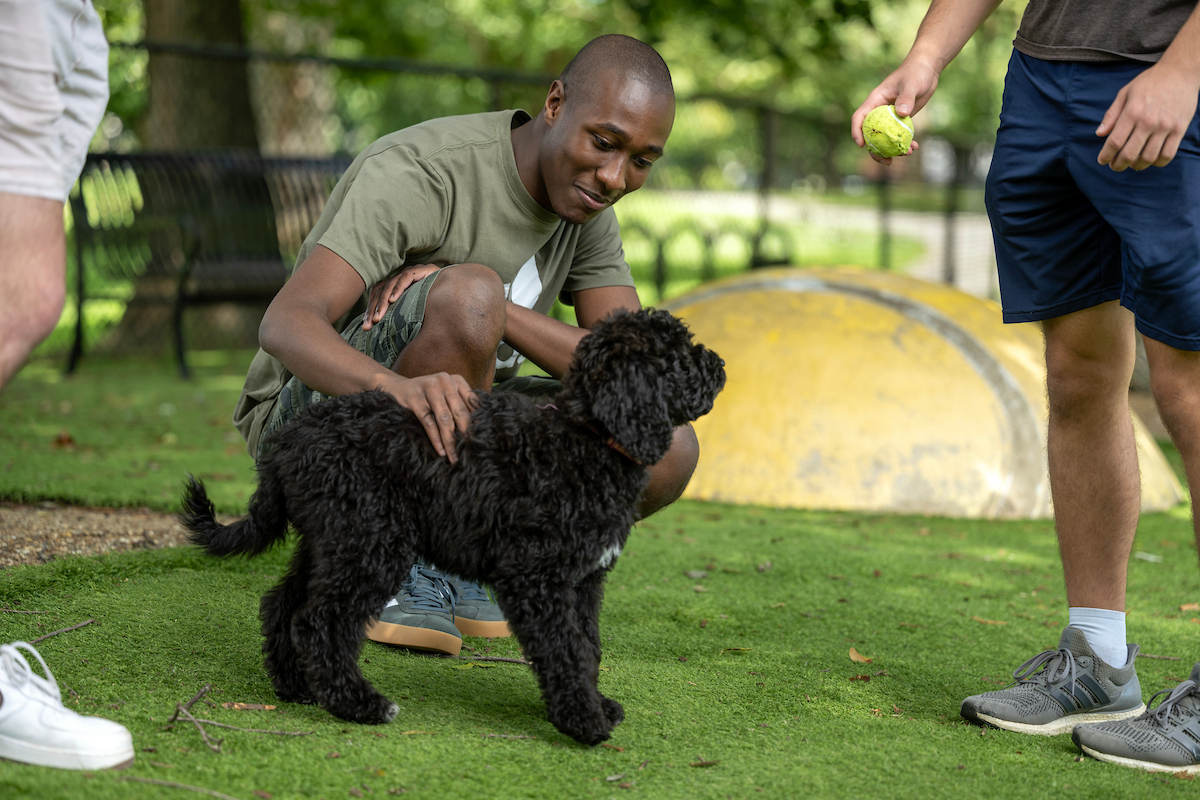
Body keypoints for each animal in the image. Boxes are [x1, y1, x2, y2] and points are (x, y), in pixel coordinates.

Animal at [177, 309, 720, 748]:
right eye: (679, 356)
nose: (719, 364)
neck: (586, 435)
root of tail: (291, 438)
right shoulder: (537, 578)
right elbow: (565, 648)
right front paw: (584, 722)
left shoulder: (583, 581)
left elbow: (586, 646)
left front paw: (595, 704)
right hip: (373, 543)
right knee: (321, 620)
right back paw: (360, 705)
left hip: (334, 539)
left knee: (282, 605)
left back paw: (294, 687)